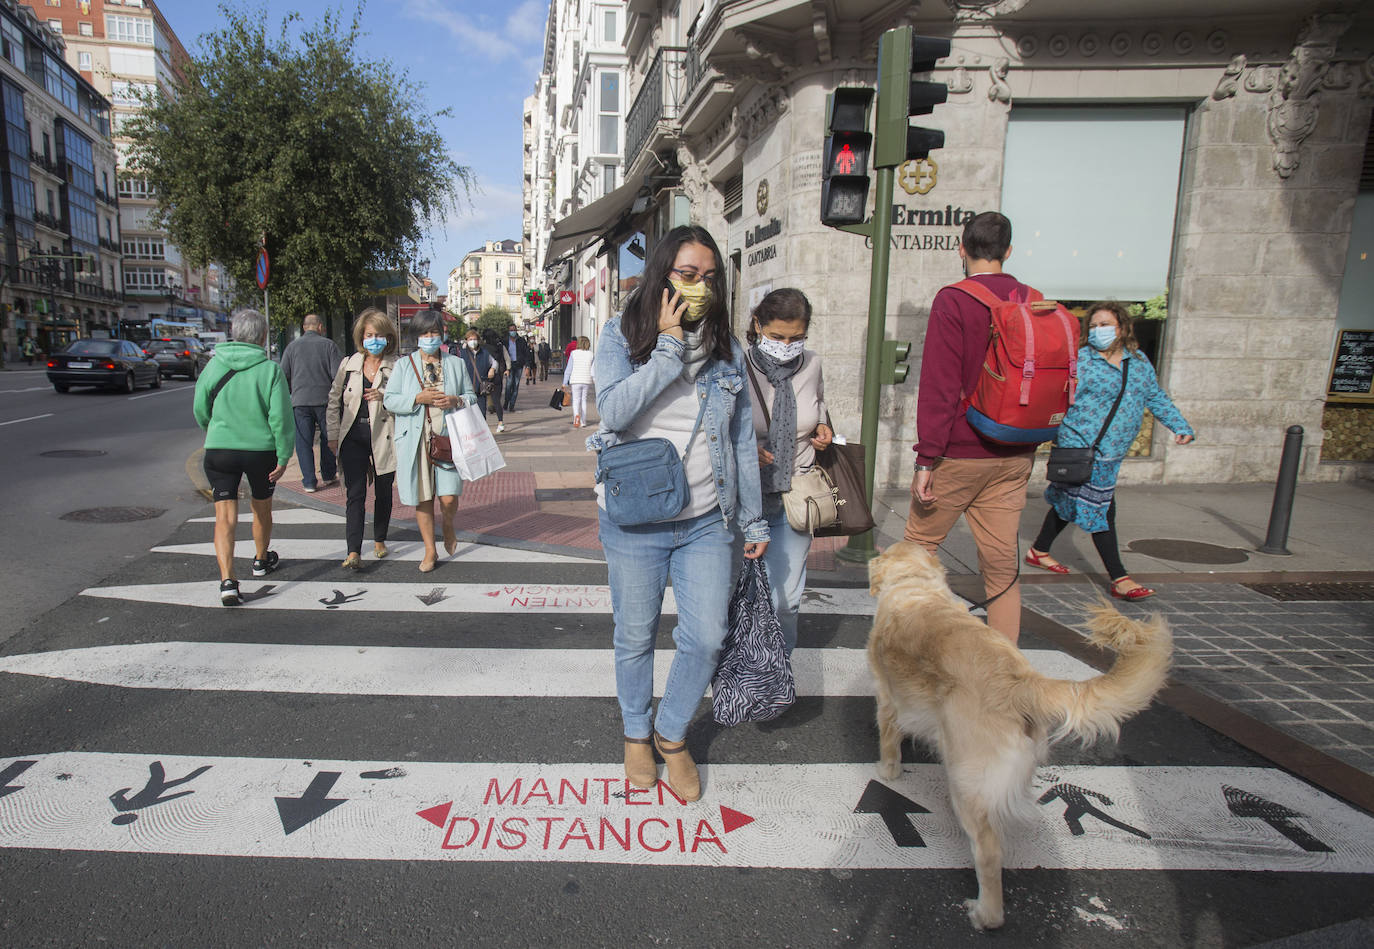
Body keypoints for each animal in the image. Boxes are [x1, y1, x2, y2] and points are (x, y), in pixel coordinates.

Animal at [868, 546, 1170, 933]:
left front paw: (888, 771)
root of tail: (1022, 683)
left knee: (988, 851)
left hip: (967, 778)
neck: (915, 586)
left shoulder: (887, 696)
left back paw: (985, 914)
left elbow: (889, 739)